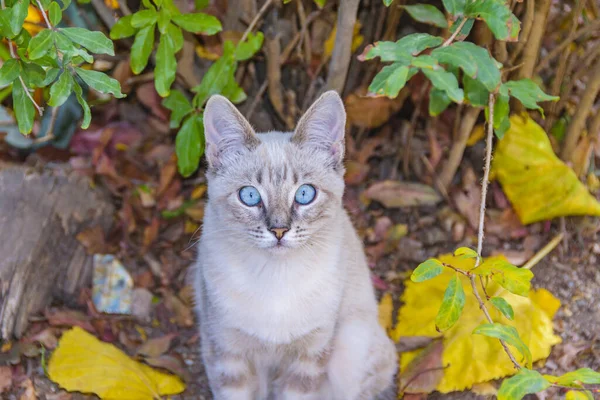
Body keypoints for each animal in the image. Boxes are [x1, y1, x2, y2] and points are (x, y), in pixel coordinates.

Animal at [193, 91, 398, 400]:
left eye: (304, 194)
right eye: (250, 196)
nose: (279, 230)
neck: (276, 277)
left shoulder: (309, 358)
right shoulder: (228, 355)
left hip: (351, 350)